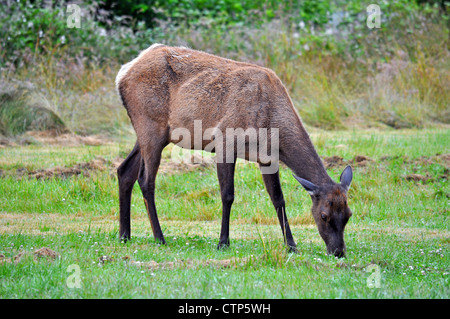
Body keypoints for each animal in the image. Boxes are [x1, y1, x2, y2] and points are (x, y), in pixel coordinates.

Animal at [114, 43, 354, 258]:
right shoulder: (224, 141)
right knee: (146, 179)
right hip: (151, 125)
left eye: (349, 215)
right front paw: (223, 242)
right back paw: (159, 237)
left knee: (124, 170)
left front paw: (291, 245)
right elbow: (227, 195)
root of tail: (122, 73)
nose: (338, 252)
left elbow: (278, 199)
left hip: (149, 131)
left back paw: (124, 235)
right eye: (324, 215)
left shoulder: (267, 158)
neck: (270, 126)